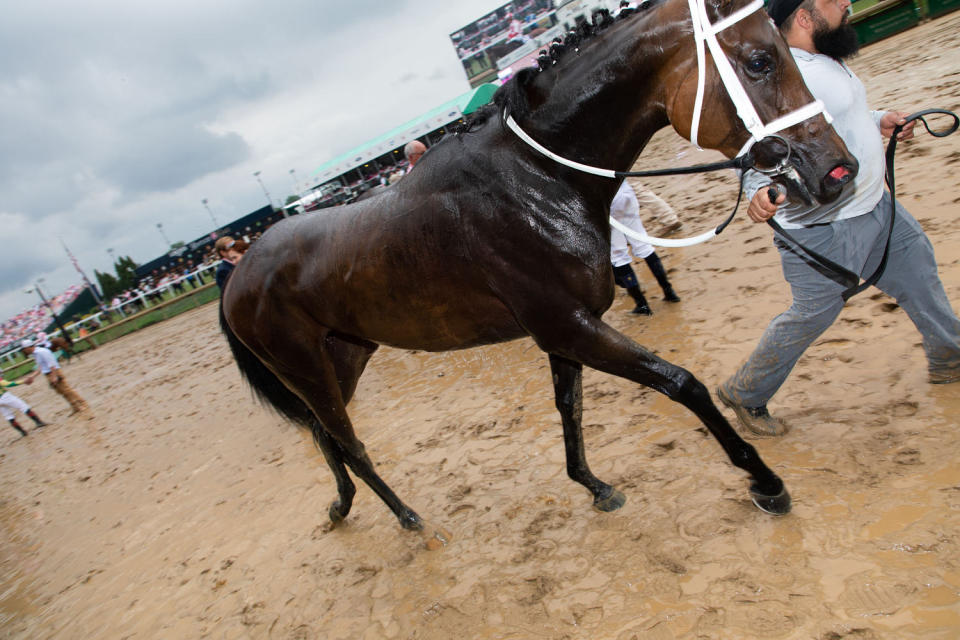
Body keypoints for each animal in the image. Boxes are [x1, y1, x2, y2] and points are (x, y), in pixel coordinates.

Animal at [223, 0, 856, 536]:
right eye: (759, 61)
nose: (837, 169)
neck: (536, 178)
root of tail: (236, 277)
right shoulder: (566, 325)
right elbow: (682, 383)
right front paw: (765, 481)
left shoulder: (566, 330)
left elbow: (570, 408)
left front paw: (595, 486)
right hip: (307, 367)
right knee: (348, 442)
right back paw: (408, 517)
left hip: (343, 357)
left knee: (324, 436)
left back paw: (342, 505)